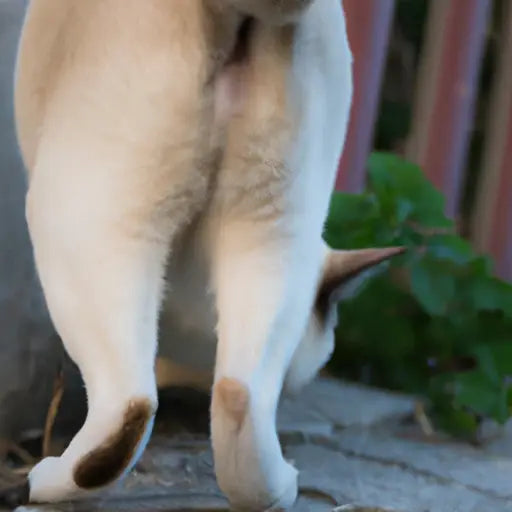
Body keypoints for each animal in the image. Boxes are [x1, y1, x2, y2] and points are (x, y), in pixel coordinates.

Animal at [14, 1, 402, 508]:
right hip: (272, 230)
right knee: (240, 395)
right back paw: (282, 488)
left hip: (88, 220)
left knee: (129, 407)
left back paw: (41, 482)